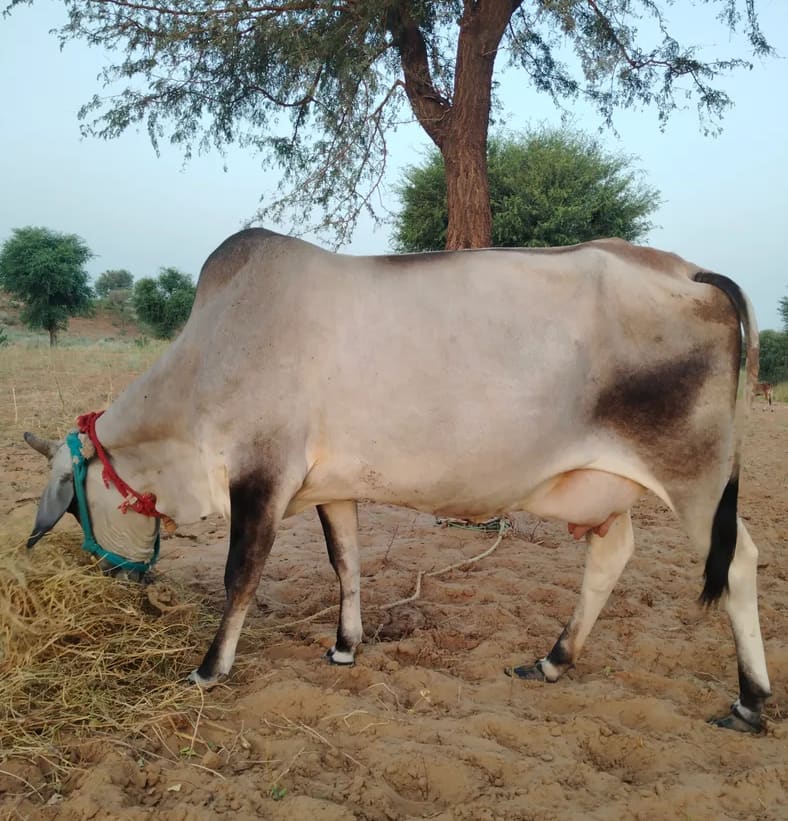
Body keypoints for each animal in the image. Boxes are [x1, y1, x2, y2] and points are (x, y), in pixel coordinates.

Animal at [24, 229, 771, 733]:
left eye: (74, 510)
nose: (113, 575)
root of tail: (692, 270)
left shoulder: (260, 475)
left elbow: (241, 574)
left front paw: (209, 668)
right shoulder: (331, 485)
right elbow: (345, 561)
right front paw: (345, 645)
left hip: (698, 475)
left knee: (737, 562)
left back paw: (750, 699)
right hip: (610, 483)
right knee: (611, 558)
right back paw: (553, 659)